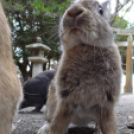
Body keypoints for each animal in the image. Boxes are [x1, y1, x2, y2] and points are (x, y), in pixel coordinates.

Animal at [37, 0, 121, 134]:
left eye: (100, 10)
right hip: (50, 106)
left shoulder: (106, 104)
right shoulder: (66, 101)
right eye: (70, 5)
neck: (85, 46)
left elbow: (109, 126)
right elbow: (57, 125)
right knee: (49, 120)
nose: (74, 11)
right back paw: (43, 129)